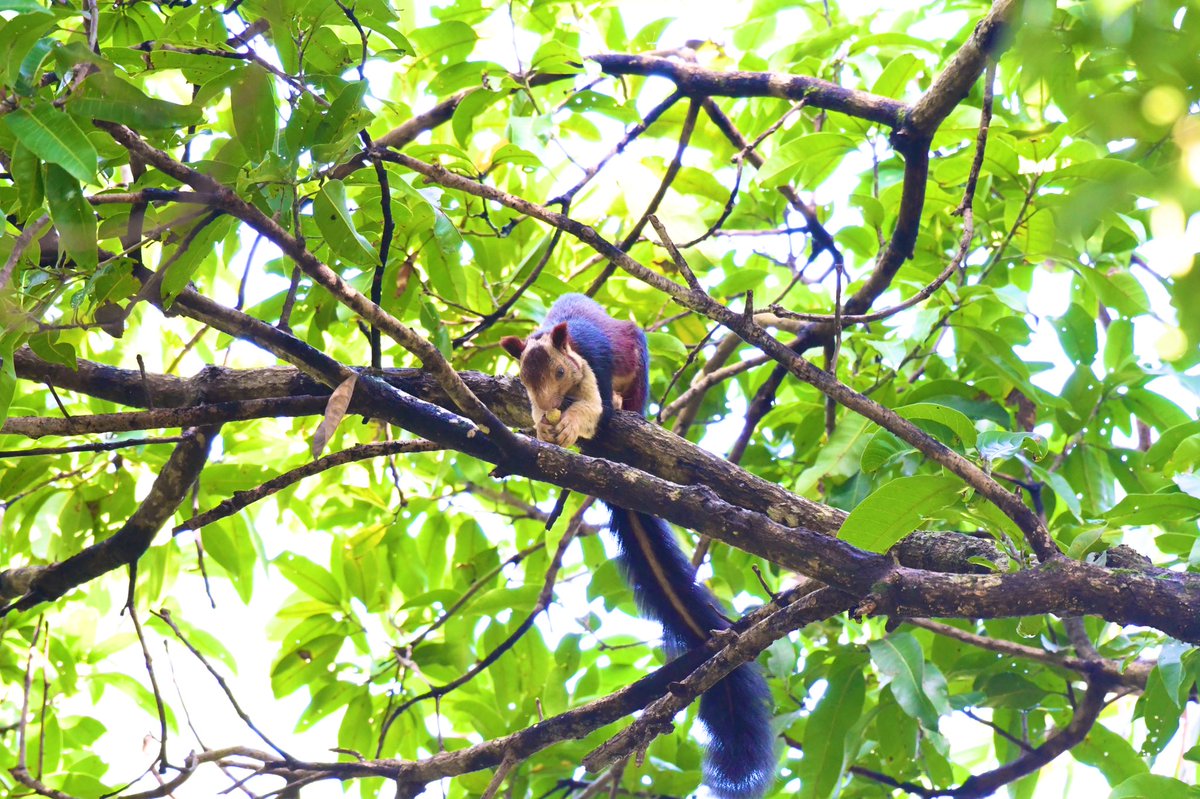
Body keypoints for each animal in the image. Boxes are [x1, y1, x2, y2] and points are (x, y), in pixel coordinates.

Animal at [500, 293, 776, 799]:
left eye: (561, 372)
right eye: (524, 382)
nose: (548, 409)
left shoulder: (596, 366)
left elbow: (594, 409)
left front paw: (571, 424)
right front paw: (543, 428)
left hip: (638, 366)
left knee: (626, 401)